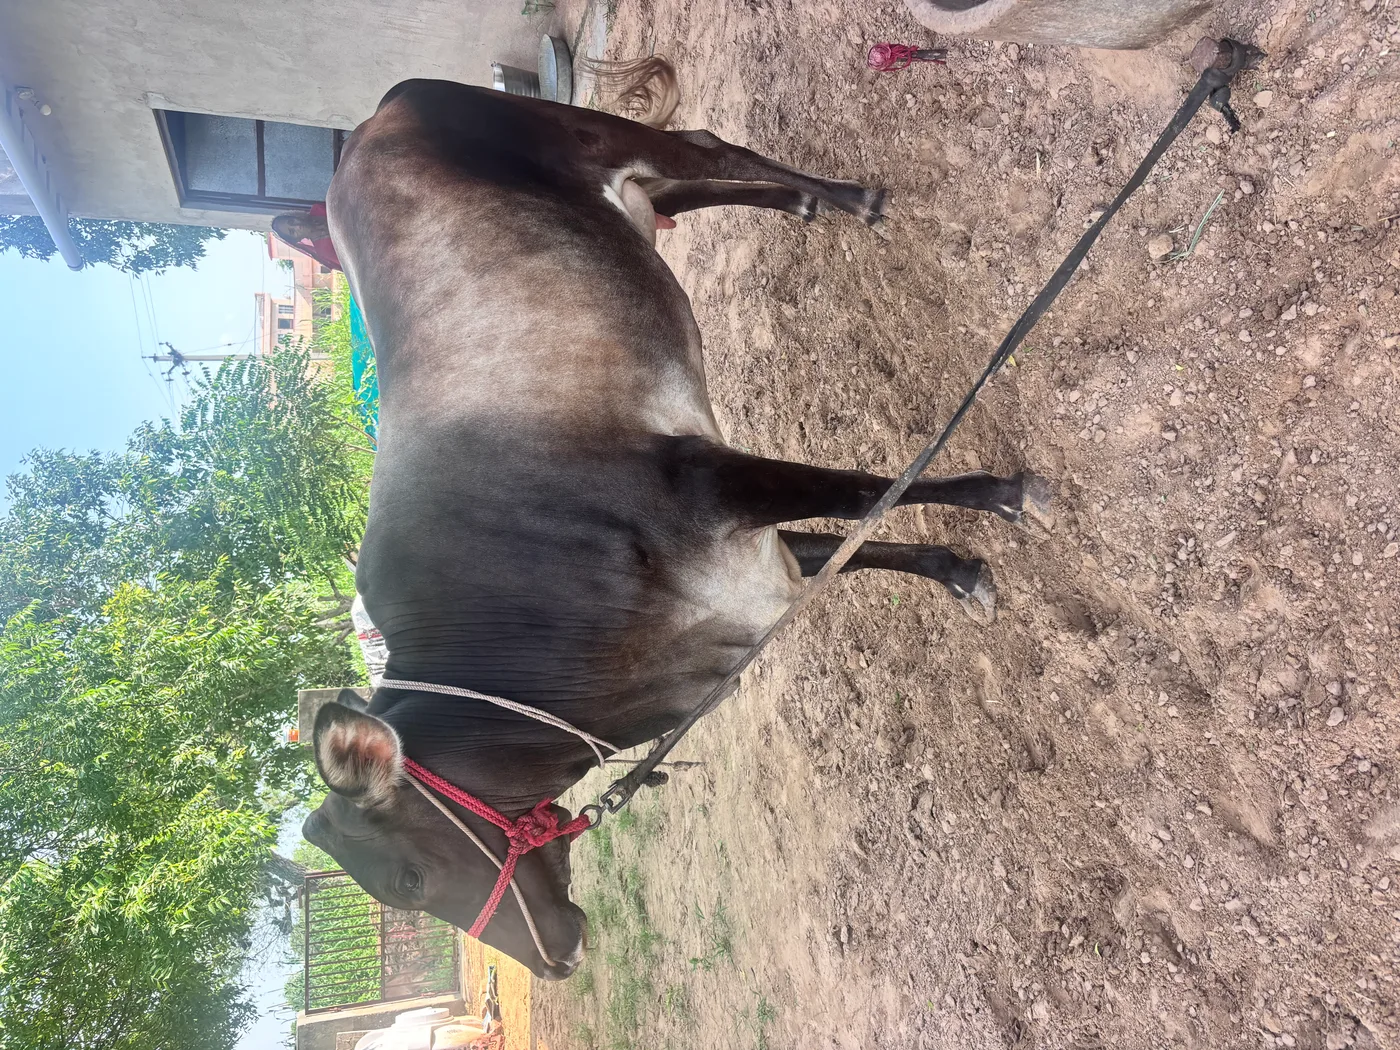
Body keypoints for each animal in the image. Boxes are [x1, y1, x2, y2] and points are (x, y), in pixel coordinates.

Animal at [302, 63, 1050, 980]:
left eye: (407, 882)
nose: (560, 958)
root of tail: (381, 110)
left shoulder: (707, 480)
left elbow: (862, 492)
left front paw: (1003, 493)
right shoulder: (757, 567)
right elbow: (858, 538)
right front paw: (960, 570)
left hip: (590, 133)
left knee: (703, 145)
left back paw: (849, 197)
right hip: (627, 197)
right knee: (683, 188)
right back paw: (806, 204)